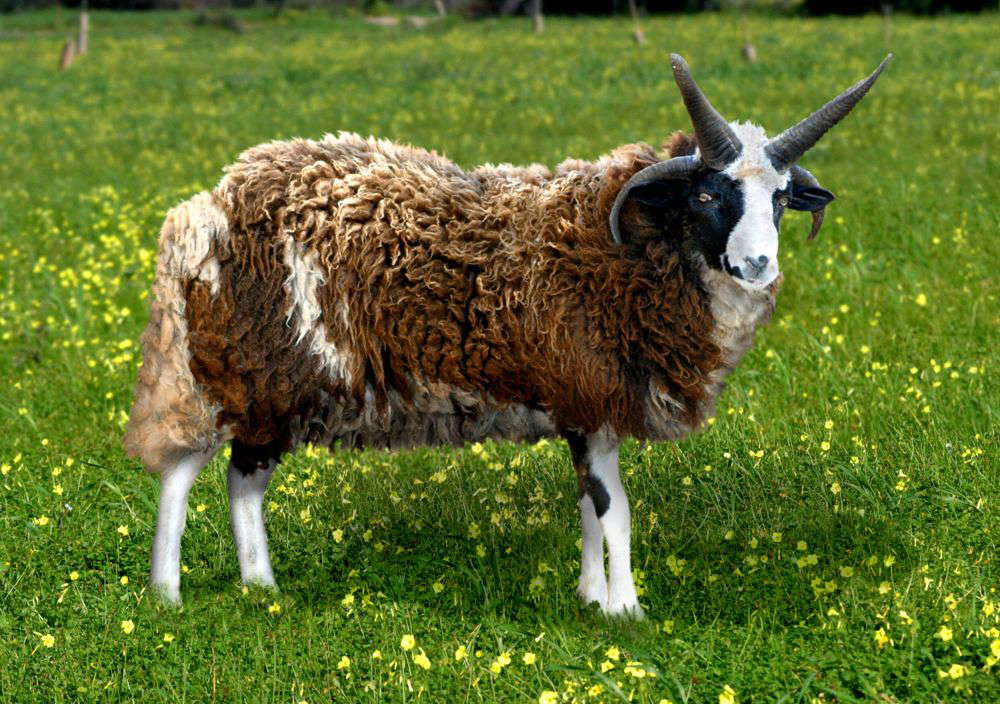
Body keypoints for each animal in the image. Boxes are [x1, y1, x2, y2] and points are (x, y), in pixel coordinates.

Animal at [124, 54, 890, 616]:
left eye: (782, 199)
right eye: (707, 194)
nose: (759, 265)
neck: (622, 250)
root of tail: (207, 207)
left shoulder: (584, 404)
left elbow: (590, 506)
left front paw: (590, 600)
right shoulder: (588, 390)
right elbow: (616, 511)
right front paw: (628, 614)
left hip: (278, 383)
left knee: (242, 478)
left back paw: (262, 588)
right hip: (236, 366)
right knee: (184, 470)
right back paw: (167, 595)